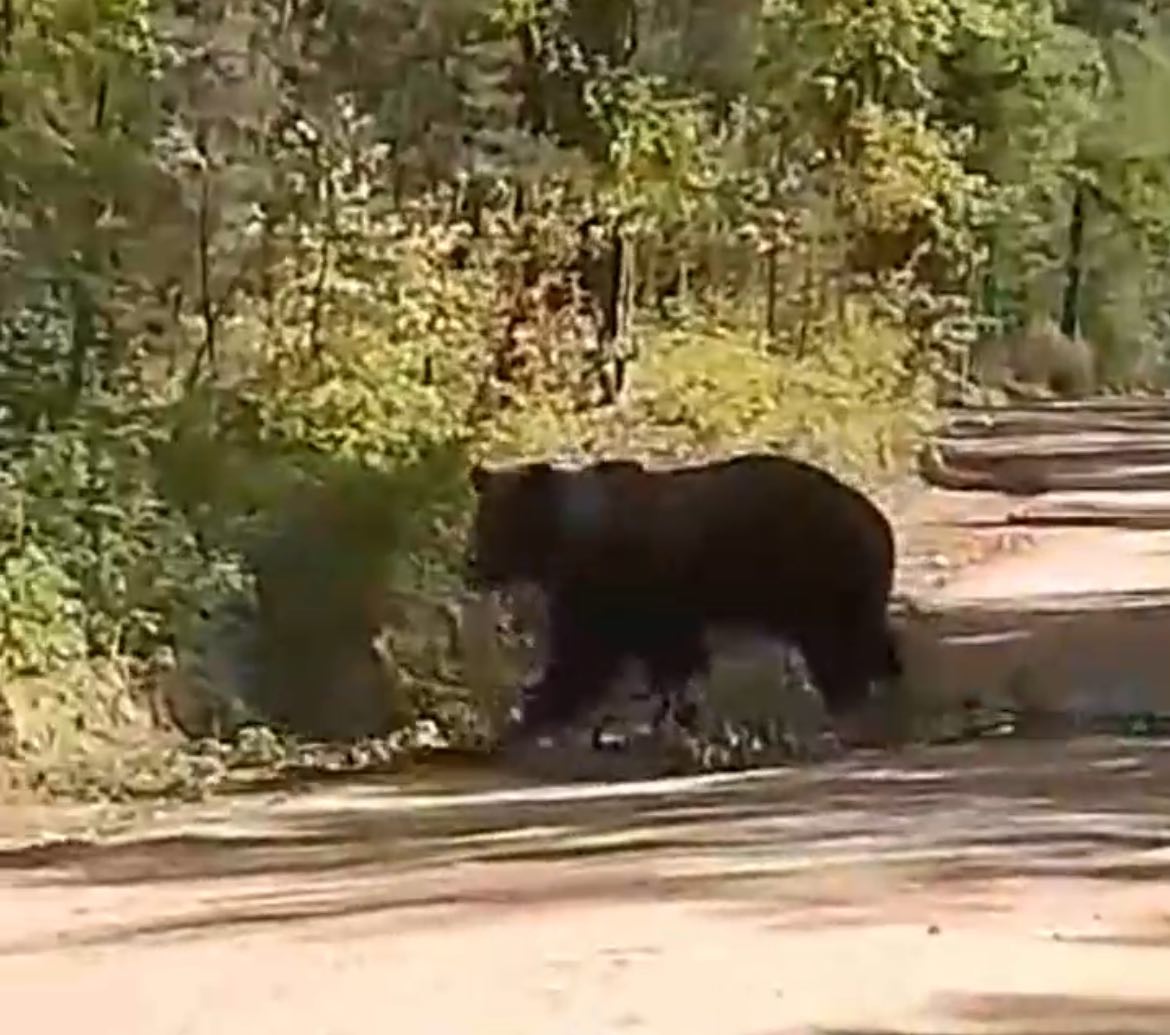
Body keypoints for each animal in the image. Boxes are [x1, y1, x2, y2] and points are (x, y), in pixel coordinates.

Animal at [465, 451, 903, 743]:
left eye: (495, 524)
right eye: (480, 519)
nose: (472, 564)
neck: (564, 537)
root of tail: (874, 517)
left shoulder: (618, 584)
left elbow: (586, 655)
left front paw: (528, 716)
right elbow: (660, 657)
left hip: (815, 572)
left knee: (836, 644)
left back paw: (851, 706)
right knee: (865, 638)